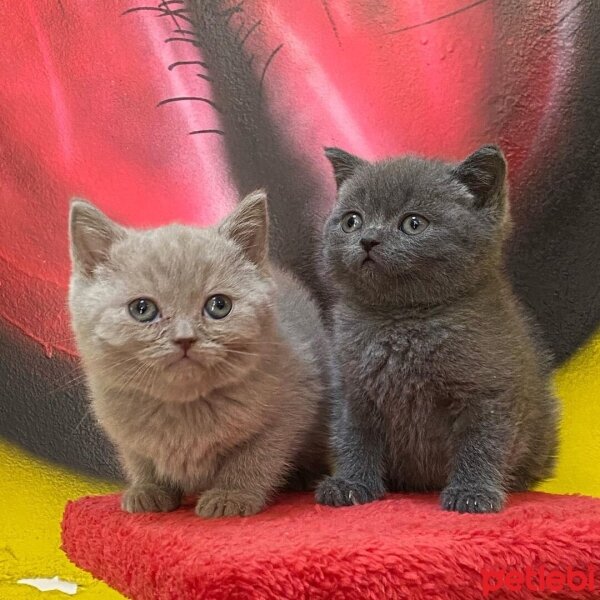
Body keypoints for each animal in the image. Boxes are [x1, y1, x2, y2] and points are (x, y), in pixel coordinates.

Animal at [68, 191, 330, 516]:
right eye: (142, 309)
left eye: (219, 305)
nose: (185, 338)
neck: (184, 407)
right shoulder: (123, 428)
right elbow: (139, 458)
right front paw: (148, 490)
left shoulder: (292, 405)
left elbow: (255, 457)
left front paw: (230, 495)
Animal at [316, 146, 560, 516]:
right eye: (351, 221)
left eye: (413, 223)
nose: (368, 239)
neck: (402, 320)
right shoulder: (354, 388)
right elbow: (353, 436)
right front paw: (351, 485)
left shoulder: (489, 390)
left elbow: (482, 442)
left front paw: (472, 492)